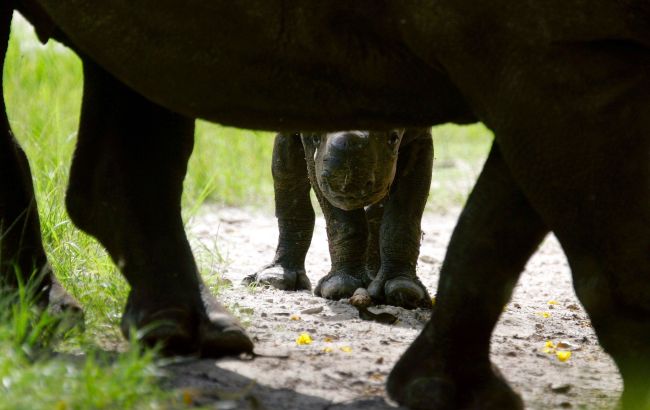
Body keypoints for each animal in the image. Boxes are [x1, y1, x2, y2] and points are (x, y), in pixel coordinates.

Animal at [246, 128, 432, 308]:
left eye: (393, 139)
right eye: (315, 138)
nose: (348, 183)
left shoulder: (420, 136)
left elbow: (403, 214)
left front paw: (403, 289)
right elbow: (340, 219)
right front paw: (341, 287)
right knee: (285, 166)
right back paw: (274, 278)